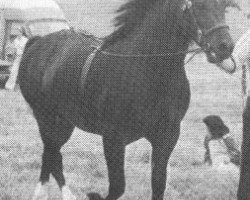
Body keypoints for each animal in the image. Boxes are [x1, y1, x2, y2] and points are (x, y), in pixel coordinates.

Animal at [19, 0, 234, 200]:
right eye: (198, 4)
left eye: (224, 5)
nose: (225, 46)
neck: (147, 68)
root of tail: (37, 43)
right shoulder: (113, 138)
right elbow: (117, 187)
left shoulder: (167, 136)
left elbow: (158, 184)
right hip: (46, 117)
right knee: (51, 153)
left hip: (65, 122)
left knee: (52, 154)